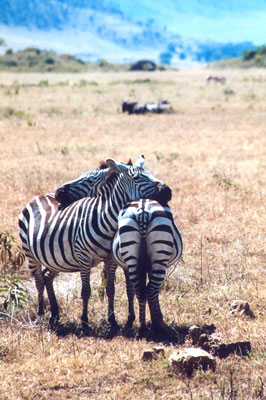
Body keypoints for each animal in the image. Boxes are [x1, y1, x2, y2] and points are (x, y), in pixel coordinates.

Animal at [19, 155, 172, 330]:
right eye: (137, 178)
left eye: (149, 174)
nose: (168, 191)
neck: (106, 220)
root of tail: (40, 196)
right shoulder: (83, 257)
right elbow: (86, 291)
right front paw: (85, 322)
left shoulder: (111, 259)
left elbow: (111, 289)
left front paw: (112, 321)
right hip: (30, 253)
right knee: (38, 281)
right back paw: (40, 315)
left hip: (56, 259)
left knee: (46, 277)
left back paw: (55, 315)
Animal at [110, 198, 183, 332]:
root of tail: (142, 210)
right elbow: (154, 290)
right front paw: (157, 317)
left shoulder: (129, 267)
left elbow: (132, 289)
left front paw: (132, 320)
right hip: (160, 255)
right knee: (151, 289)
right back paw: (158, 325)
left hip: (131, 255)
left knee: (140, 290)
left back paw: (142, 326)